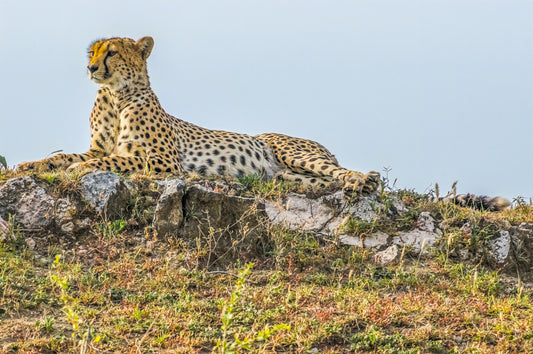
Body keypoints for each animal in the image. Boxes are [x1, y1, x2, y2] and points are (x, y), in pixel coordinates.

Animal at [18, 35, 380, 195]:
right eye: (92, 52)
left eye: (112, 52)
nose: (91, 67)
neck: (115, 95)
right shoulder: (97, 147)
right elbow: (64, 156)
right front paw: (31, 165)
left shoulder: (164, 163)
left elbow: (115, 160)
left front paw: (79, 169)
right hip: (285, 175)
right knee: (320, 180)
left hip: (293, 153)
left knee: (342, 172)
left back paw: (364, 180)